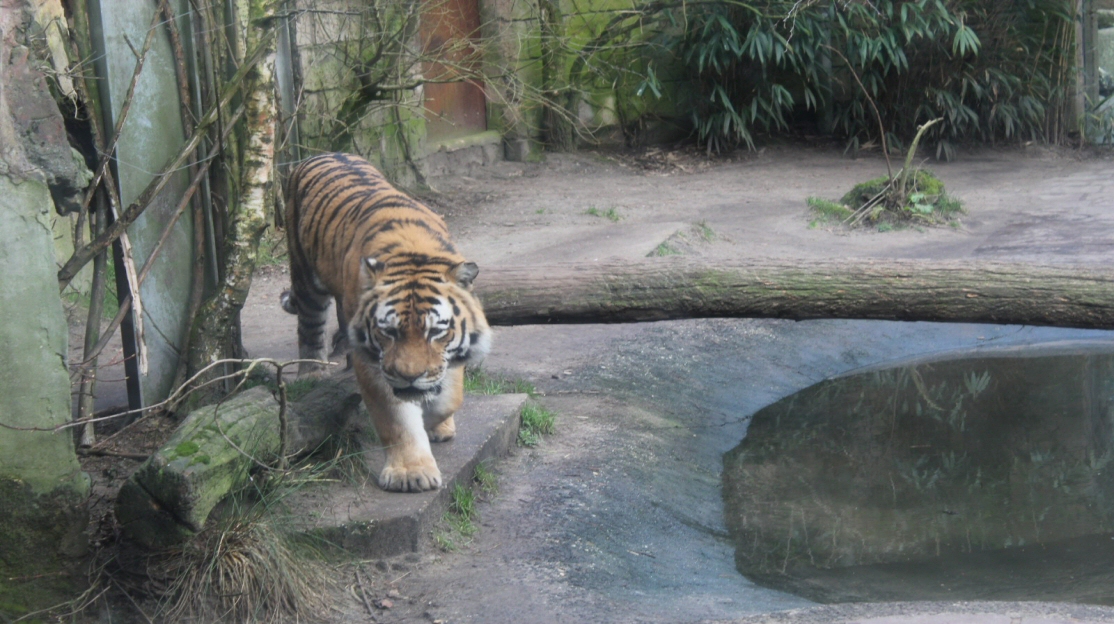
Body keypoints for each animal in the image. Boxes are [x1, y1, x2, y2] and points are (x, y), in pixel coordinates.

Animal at [278, 152, 492, 492]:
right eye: (388, 331)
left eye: (436, 331)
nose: (410, 377)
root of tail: (322, 153)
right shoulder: (375, 363)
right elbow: (396, 417)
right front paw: (411, 473)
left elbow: (450, 396)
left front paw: (438, 423)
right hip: (304, 274)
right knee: (310, 325)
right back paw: (312, 371)